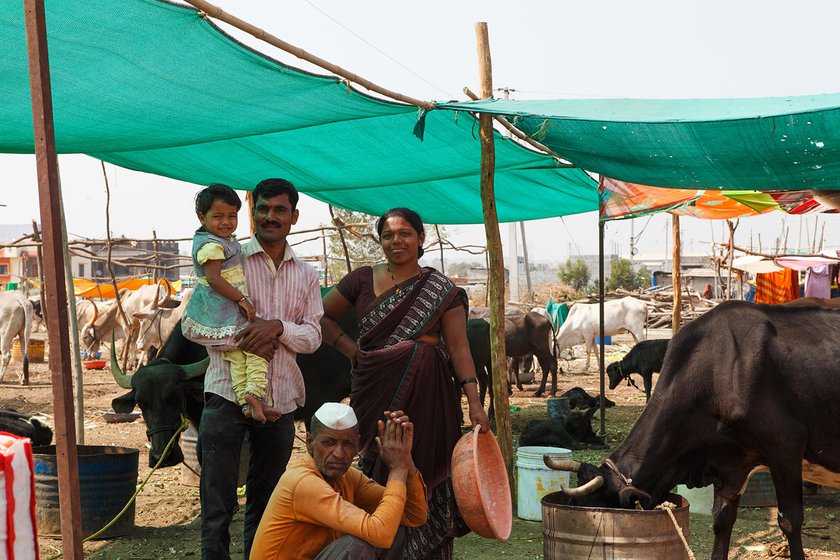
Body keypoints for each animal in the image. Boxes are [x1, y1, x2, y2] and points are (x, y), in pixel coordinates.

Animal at [548, 302, 840, 560]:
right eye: (575, 507)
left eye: (598, 506)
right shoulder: (730, 466)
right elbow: (722, 519)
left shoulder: (785, 447)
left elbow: (790, 520)